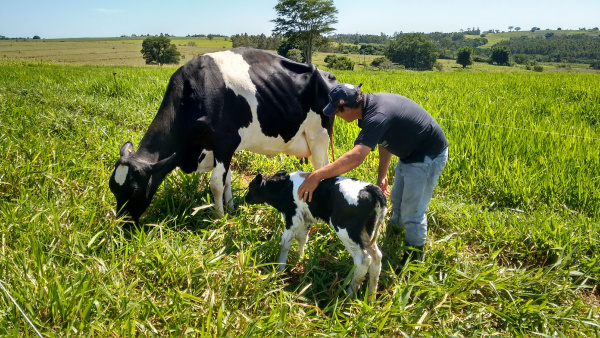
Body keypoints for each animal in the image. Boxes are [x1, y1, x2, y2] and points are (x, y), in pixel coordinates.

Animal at [245, 170, 390, 300]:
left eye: (251, 187)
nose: (245, 198)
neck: (283, 188)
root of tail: (372, 189)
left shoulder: (292, 218)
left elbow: (285, 242)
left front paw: (279, 269)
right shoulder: (305, 220)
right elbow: (302, 238)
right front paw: (300, 259)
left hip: (347, 231)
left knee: (363, 260)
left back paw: (349, 294)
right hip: (366, 233)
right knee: (377, 257)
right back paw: (371, 297)